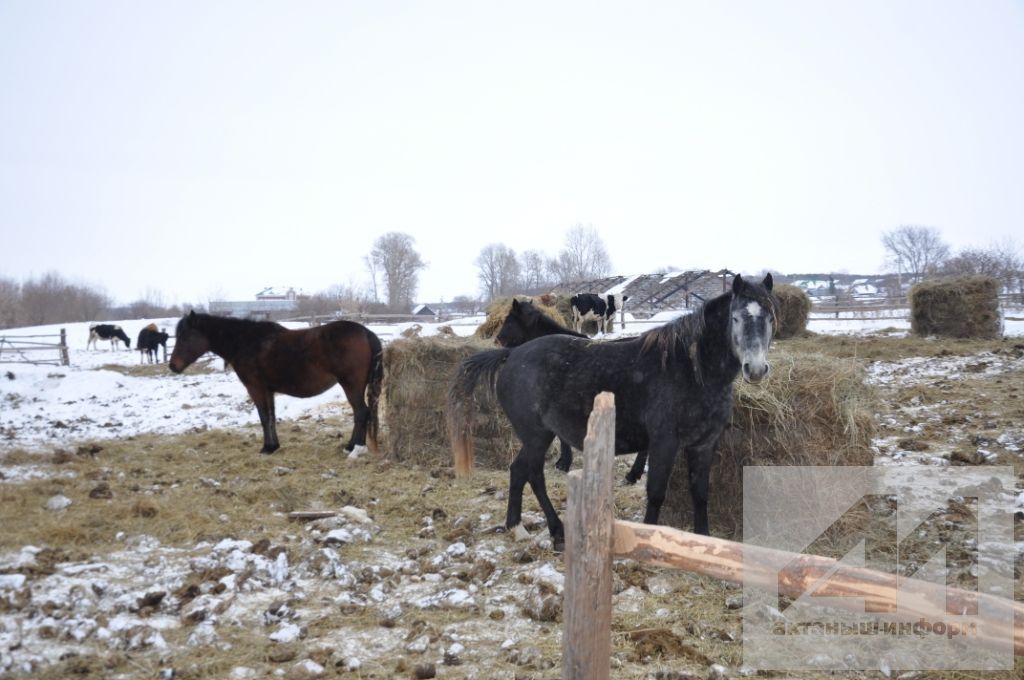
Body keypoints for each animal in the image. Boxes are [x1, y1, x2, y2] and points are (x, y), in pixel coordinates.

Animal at [168, 311, 385, 454]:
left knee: (361, 413)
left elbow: (264, 418)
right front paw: (274, 446)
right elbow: (271, 417)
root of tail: (365, 332)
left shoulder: (255, 388)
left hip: (351, 385)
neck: (246, 342)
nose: (173, 365)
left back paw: (353, 446)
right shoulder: (268, 390)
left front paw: (266, 448)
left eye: (185, 336)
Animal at [448, 274, 774, 548]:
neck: (691, 369)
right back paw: (542, 529)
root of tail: (512, 354)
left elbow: (701, 493)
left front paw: (704, 539)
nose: (756, 369)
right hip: (536, 435)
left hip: (539, 436)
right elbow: (656, 492)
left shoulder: (704, 445)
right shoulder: (665, 443)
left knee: (522, 472)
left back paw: (528, 528)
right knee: (530, 473)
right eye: (735, 318)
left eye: (771, 317)